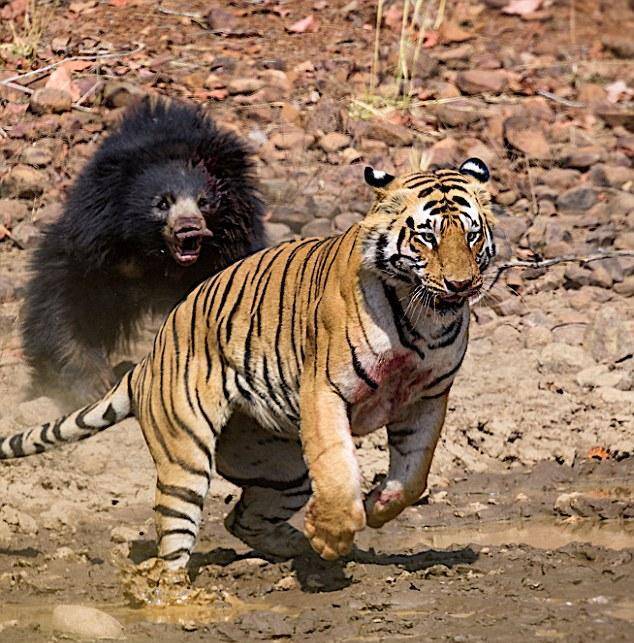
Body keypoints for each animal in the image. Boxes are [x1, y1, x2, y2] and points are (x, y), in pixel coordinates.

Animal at [0, 157, 495, 570]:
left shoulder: (427, 397)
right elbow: (337, 469)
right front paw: (333, 535)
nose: (461, 284)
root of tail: (147, 361)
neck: (424, 320)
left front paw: (373, 509)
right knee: (173, 549)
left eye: (471, 235)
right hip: (185, 459)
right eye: (427, 236)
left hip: (284, 469)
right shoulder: (325, 390)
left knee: (240, 518)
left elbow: (414, 475)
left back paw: (296, 546)